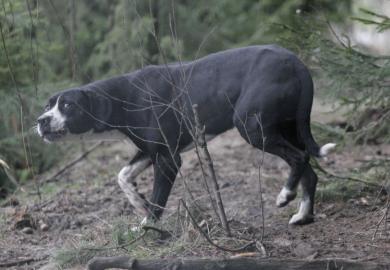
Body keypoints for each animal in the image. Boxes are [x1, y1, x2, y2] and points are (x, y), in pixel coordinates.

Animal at [37, 45, 336, 225]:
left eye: (67, 105)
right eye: (46, 105)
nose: (40, 121)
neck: (124, 99)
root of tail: (294, 61)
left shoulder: (168, 159)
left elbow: (158, 197)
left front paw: (148, 228)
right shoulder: (152, 151)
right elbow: (122, 176)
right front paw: (138, 203)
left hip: (253, 128)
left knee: (299, 158)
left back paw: (285, 194)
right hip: (288, 128)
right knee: (309, 169)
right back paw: (303, 216)